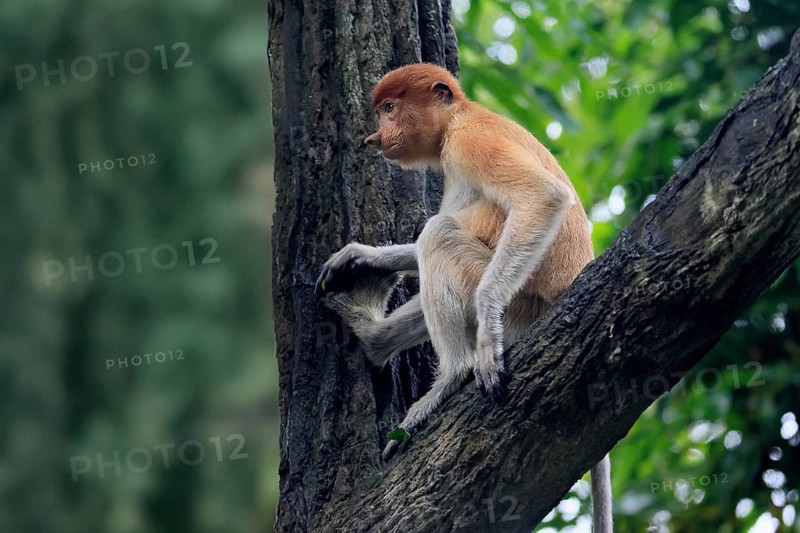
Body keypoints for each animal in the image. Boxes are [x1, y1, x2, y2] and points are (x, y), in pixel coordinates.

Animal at [315, 63, 612, 532]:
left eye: (389, 108)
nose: (374, 136)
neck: (458, 117)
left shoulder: (470, 142)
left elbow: (543, 197)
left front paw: (486, 338)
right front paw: (360, 257)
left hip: (520, 308)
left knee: (439, 234)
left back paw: (451, 377)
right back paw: (374, 336)